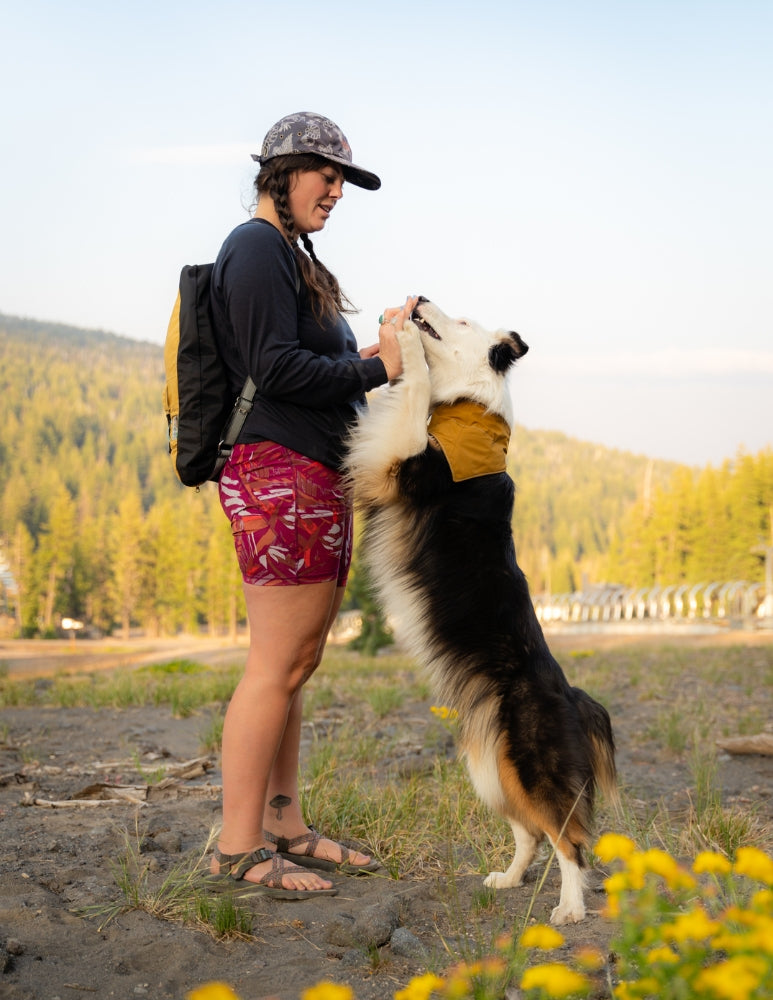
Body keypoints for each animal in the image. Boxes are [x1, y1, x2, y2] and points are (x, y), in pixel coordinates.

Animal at [346, 294, 620, 920]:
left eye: (464, 320)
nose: (419, 297)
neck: (470, 407)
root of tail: (573, 697)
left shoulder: (407, 464)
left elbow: (414, 393)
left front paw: (405, 342)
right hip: (490, 768)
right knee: (532, 833)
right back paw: (510, 879)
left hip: (531, 764)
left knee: (569, 837)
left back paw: (569, 909)